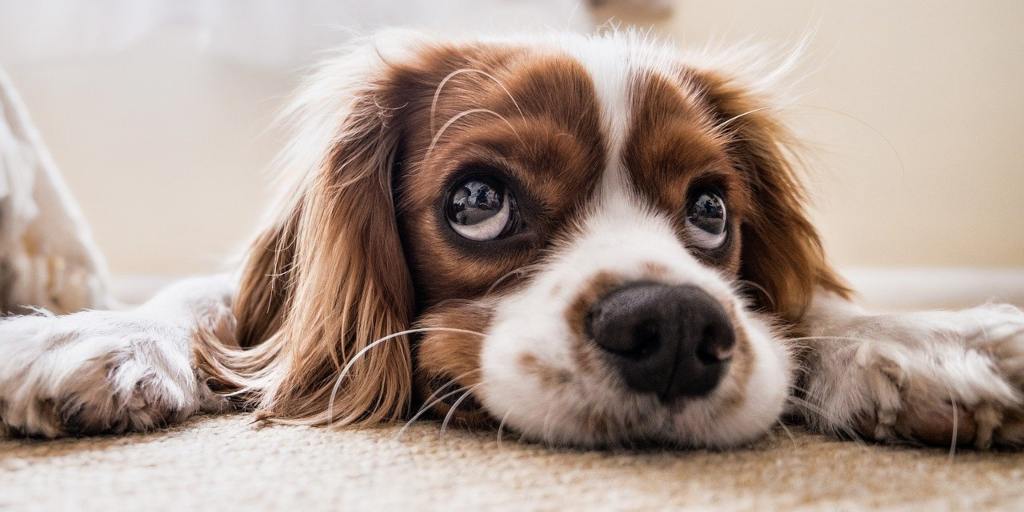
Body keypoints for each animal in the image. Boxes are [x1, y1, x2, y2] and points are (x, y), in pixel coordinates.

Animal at [2, 30, 1024, 448]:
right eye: (478, 200)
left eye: (710, 211)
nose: (675, 328)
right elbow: (207, 301)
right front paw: (91, 335)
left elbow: (811, 309)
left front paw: (927, 343)